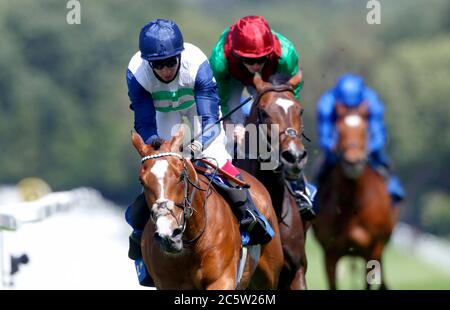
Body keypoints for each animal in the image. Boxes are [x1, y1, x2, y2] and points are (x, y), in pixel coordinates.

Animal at [312, 103, 400, 290]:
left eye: (364, 131)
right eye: (339, 130)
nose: (352, 162)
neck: (352, 206)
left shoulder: (372, 249)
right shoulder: (330, 252)